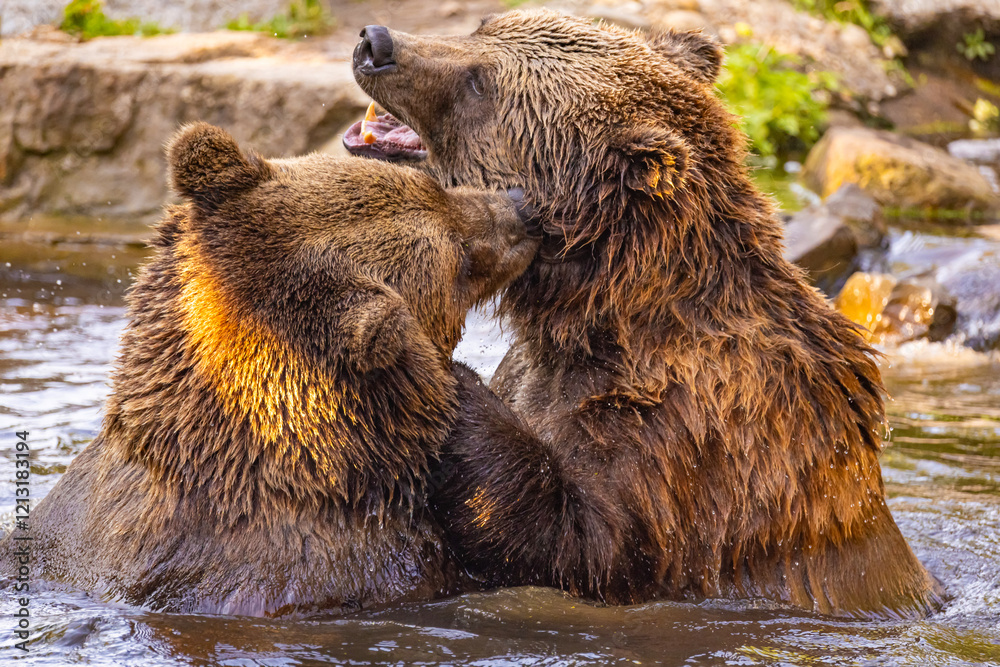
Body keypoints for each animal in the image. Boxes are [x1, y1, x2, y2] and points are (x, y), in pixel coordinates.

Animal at [344, 10, 945, 617]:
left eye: (480, 84)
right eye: (484, 26)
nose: (377, 43)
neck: (599, 312)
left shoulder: (691, 428)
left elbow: (595, 545)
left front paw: (444, 380)